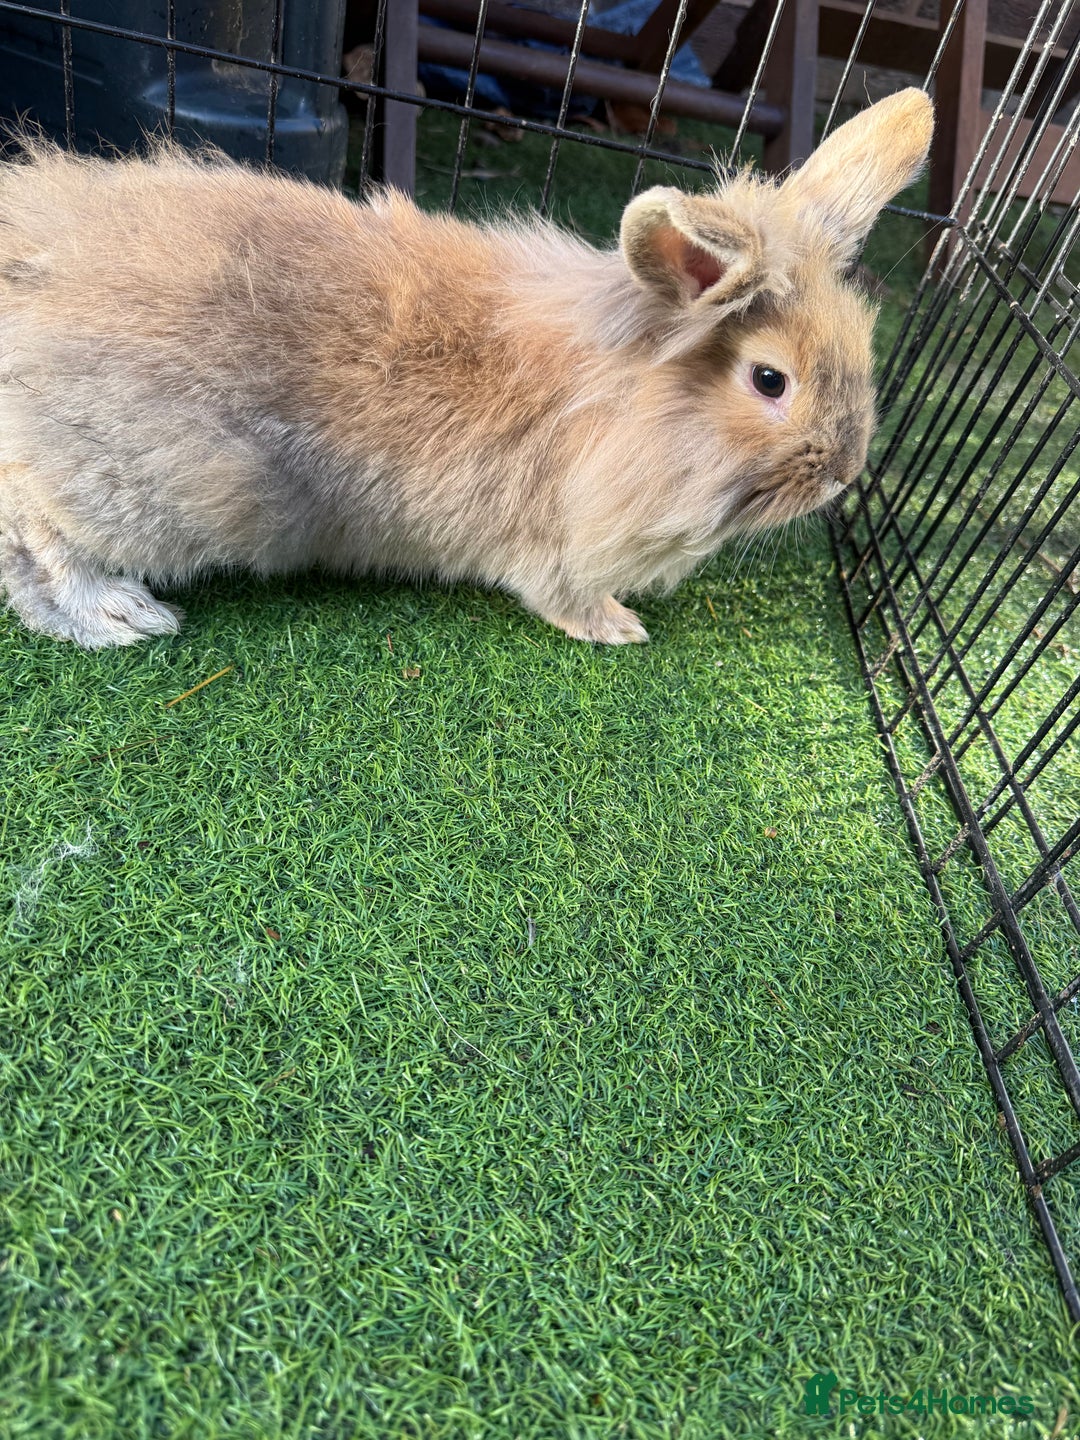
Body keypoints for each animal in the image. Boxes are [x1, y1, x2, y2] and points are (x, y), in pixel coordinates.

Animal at [0, 88, 933, 649]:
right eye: (770, 380)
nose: (846, 472)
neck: (620, 408)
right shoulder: (555, 554)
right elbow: (565, 598)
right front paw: (620, 628)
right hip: (152, 482)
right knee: (35, 535)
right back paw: (119, 614)